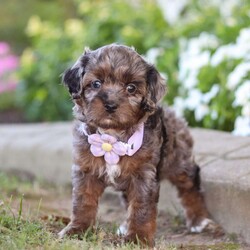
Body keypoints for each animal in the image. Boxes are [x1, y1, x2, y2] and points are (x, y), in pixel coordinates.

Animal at [59, 44, 213, 246]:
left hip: (179, 161)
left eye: (131, 88)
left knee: (190, 184)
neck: (112, 138)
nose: (110, 104)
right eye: (96, 84)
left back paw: (199, 219)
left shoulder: (143, 175)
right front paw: (77, 230)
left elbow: (141, 207)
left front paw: (138, 238)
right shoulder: (86, 171)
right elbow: (83, 201)